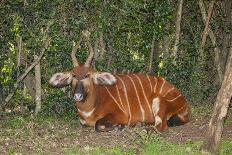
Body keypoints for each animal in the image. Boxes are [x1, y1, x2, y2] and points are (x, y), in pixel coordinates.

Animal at [49, 33, 190, 131]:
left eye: (87, 75)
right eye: (73, 75)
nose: (78, 95)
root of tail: (184, 103)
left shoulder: (121, 115)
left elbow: (97, 125)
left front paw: (119, 127)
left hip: (159, 101)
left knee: (161, 126)